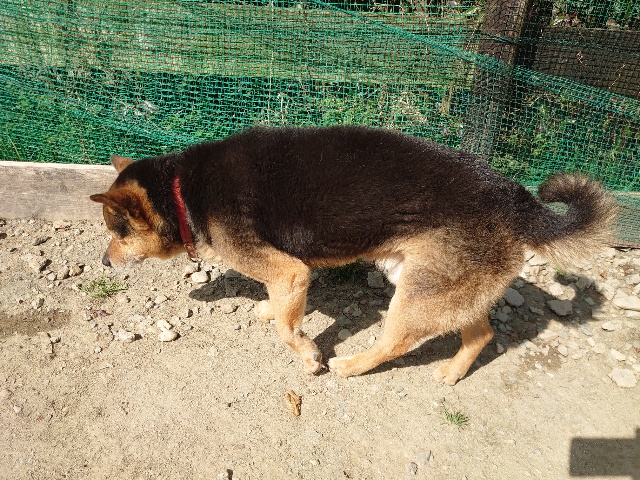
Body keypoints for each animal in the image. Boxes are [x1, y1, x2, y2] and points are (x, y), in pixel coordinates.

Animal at [90, 125, 616, 384]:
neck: (181, 190)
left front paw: (309, 357)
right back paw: (451, 373)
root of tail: (514, 197)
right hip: (433, 280)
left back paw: (352, 366)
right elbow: (278, 307)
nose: (104, 263)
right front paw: (268, 310)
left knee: (398, 341)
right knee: (480, 332)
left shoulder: (291, 270)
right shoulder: (288, 274)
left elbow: (288, 329)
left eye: (117, 231)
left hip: (418, 294)